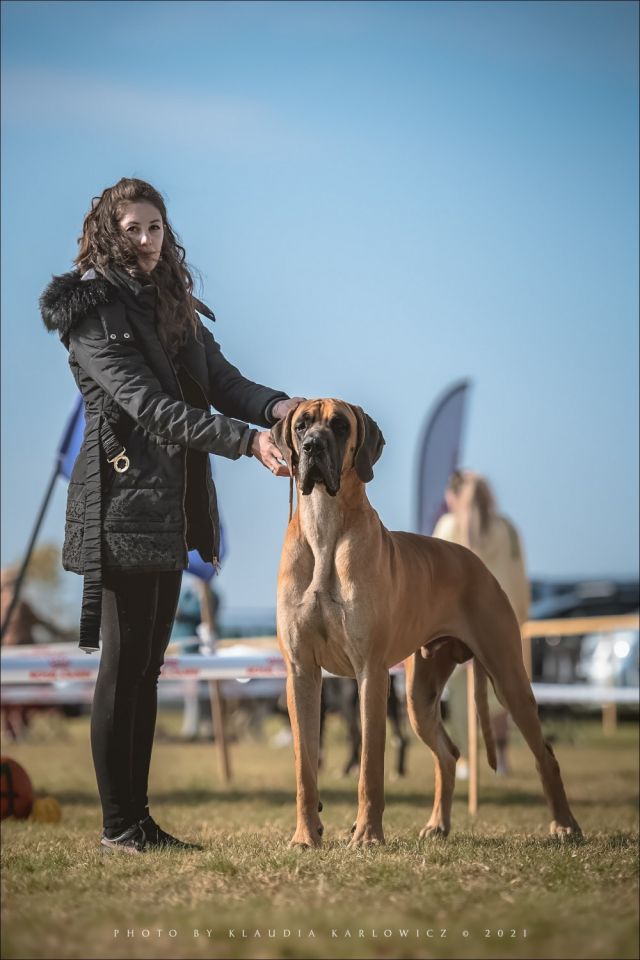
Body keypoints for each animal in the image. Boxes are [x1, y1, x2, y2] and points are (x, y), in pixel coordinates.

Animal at [272, 398, 582, 848]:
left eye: (341, 425)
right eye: (302, 425)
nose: (312, 447)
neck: (325, 527)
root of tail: (475, 561)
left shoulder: (371, 674)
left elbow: (371, 767)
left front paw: (367, 835)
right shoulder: (301, 671)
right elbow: (304, 768)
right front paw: (305, 835)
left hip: (509, 677)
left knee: (546, 754)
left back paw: (565, 825)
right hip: (420, 695)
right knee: (449, 754)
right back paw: (438, 824)